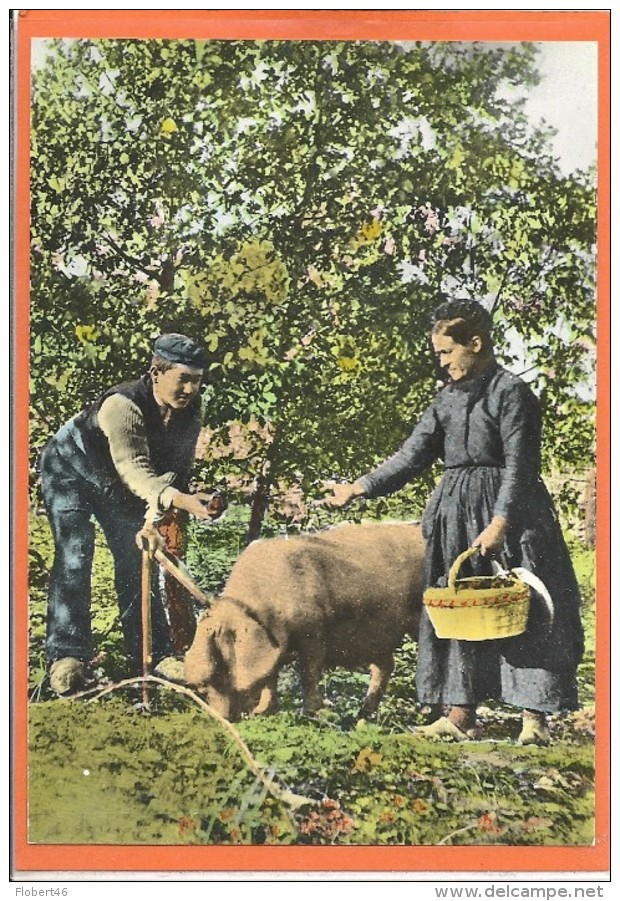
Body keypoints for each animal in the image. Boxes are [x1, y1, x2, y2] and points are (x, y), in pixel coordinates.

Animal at [184, 516, 426, 720]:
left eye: (220, 669)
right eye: (203, 686)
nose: (221, 718)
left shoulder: (315, 630)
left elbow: (308, 671)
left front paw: (310, 712)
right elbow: (271, 676)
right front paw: (262, 712)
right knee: (385, 665)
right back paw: (363, 716)